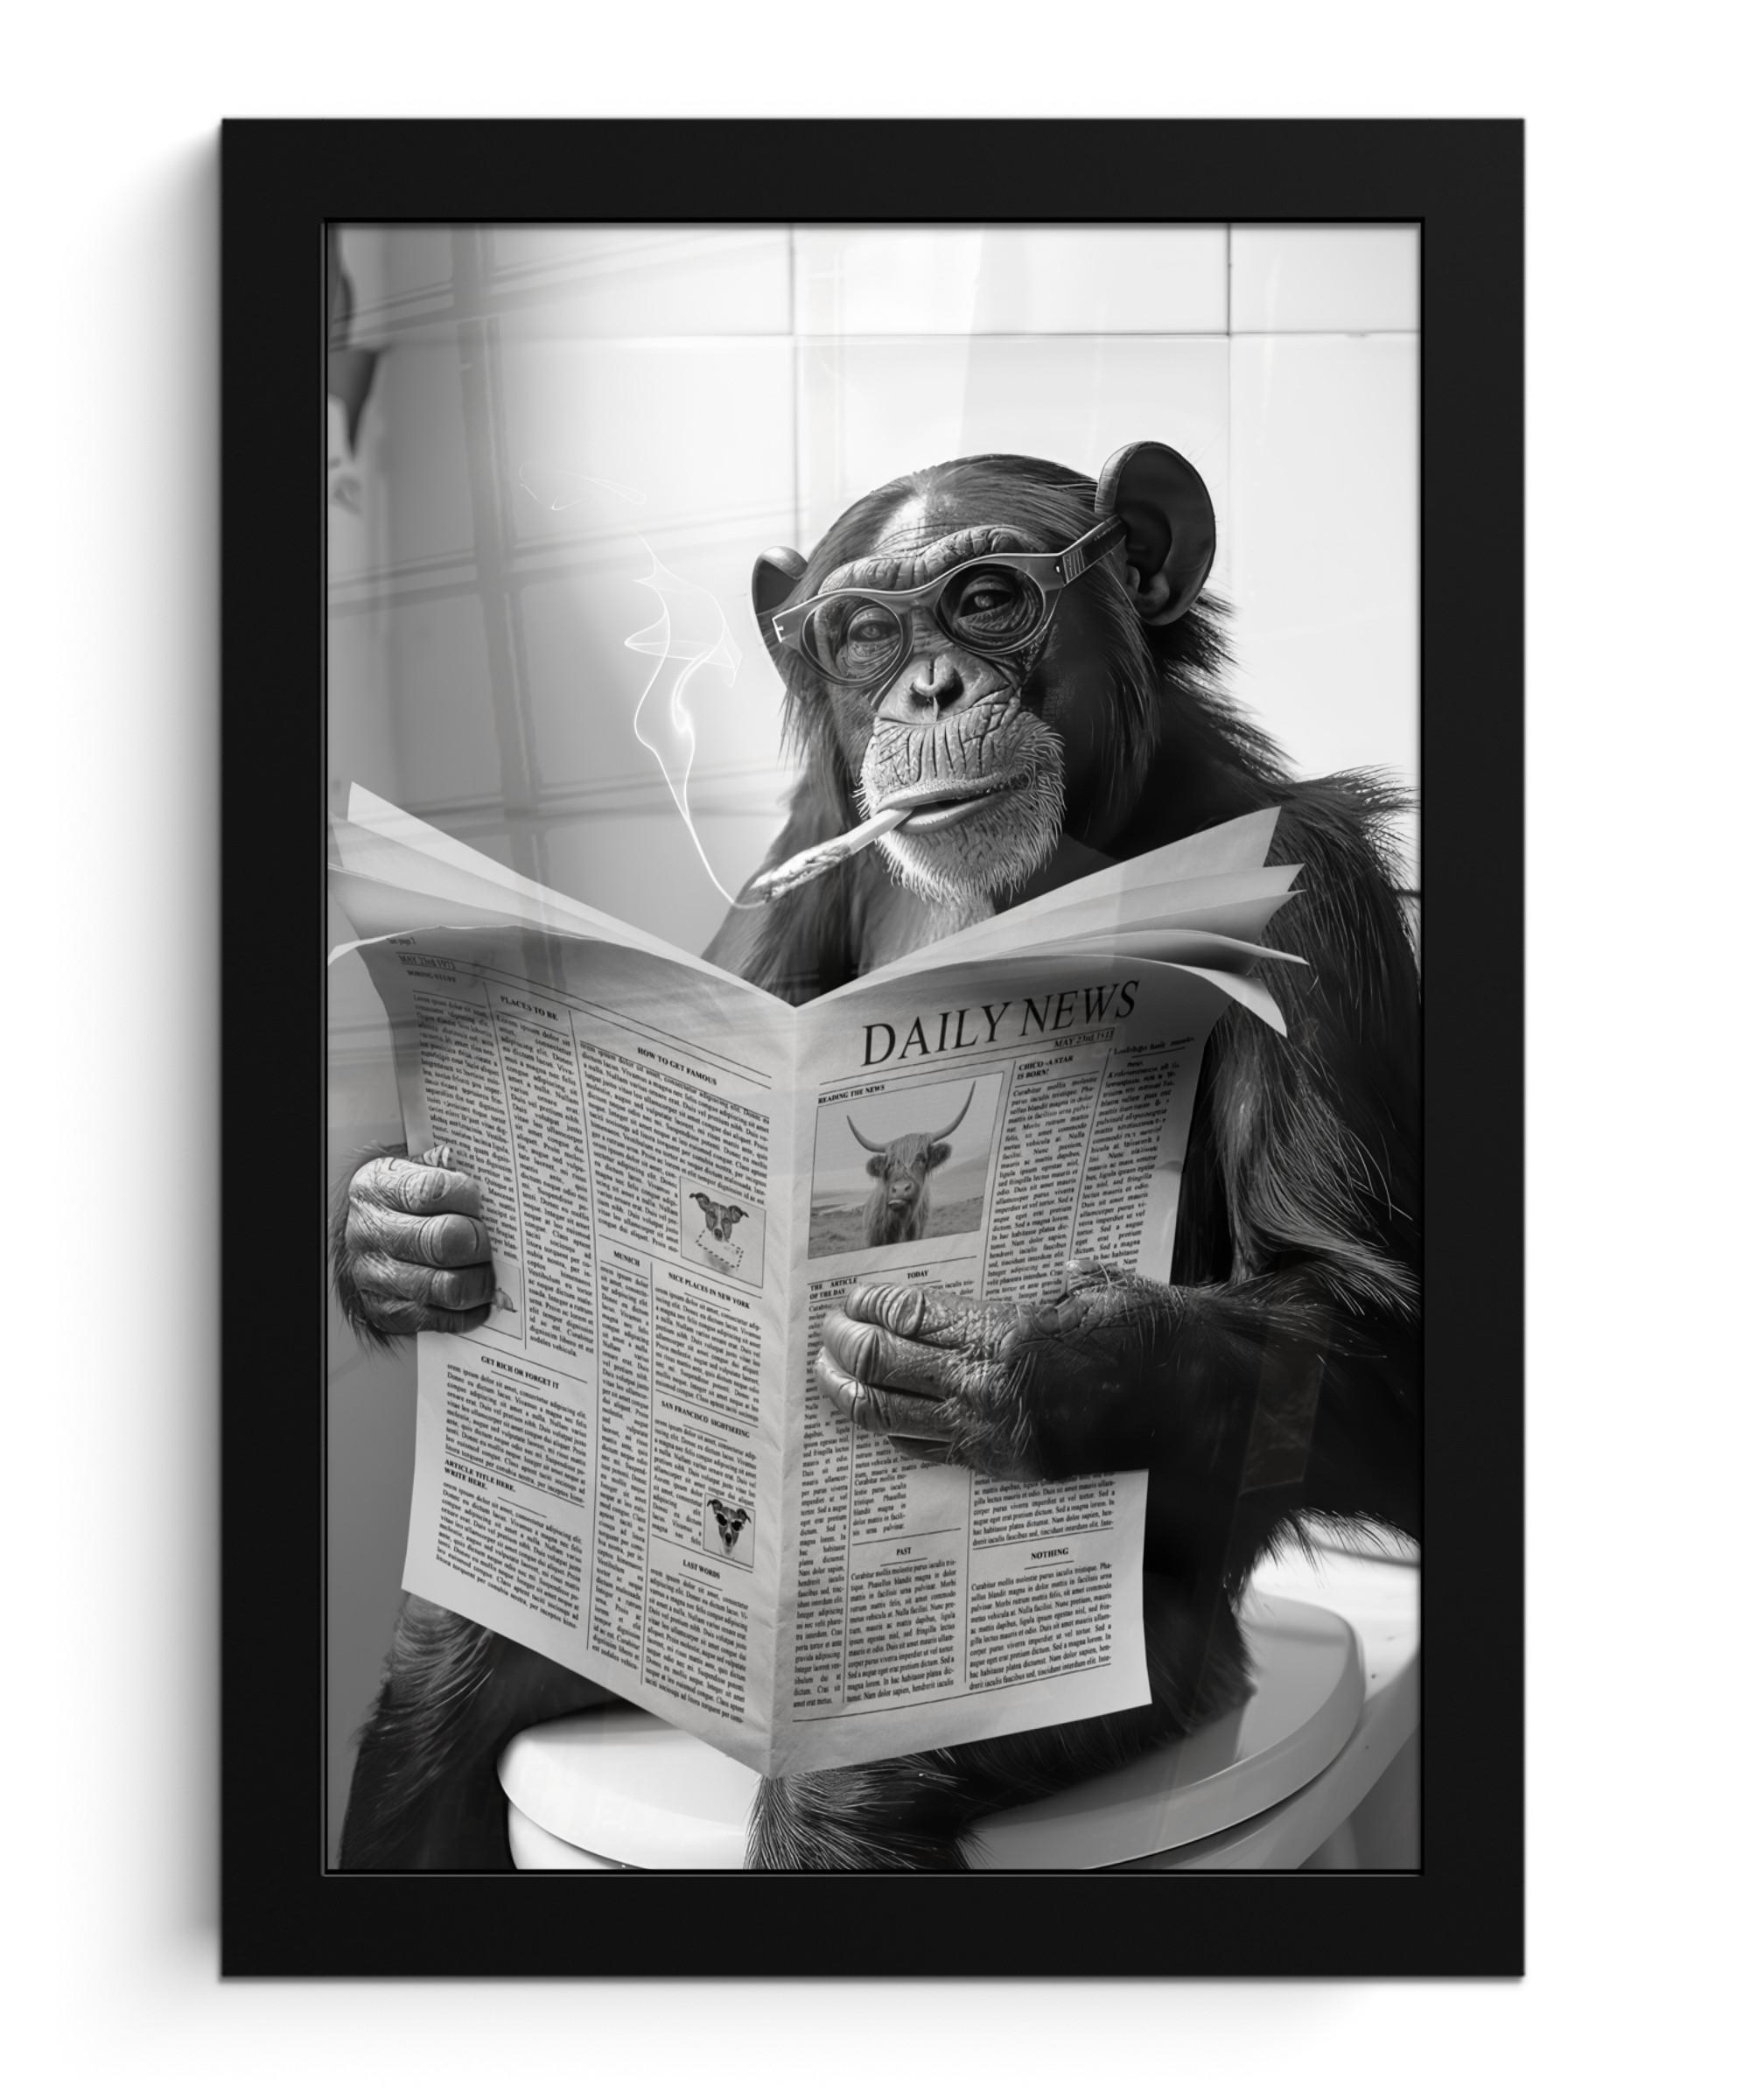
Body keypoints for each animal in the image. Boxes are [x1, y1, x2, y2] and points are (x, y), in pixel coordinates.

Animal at [334, 440, 1420, 1872]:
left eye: (986, 599)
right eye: (861, 633)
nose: (930, 685)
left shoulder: (1314, 888)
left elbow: (1360, 1308)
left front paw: (1019, 1361)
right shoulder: (799, 850)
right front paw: (405, 1234)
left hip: (1163, 1675)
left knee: (848, 1786)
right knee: (447, 1670)